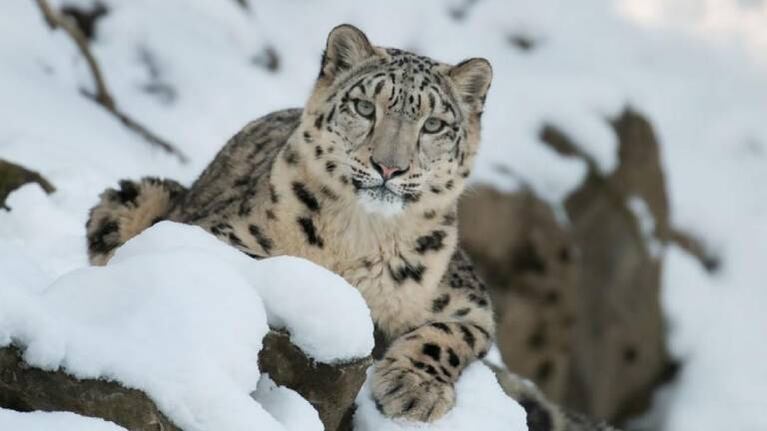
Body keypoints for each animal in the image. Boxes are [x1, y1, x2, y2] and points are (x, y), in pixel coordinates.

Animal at [85, 24, 612, 431]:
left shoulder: (470, 303)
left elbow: (449, 336)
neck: (364, 237)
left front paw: (414, 389)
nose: (389, 167)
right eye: (364, 107)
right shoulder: (218, 234)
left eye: (434, 125)